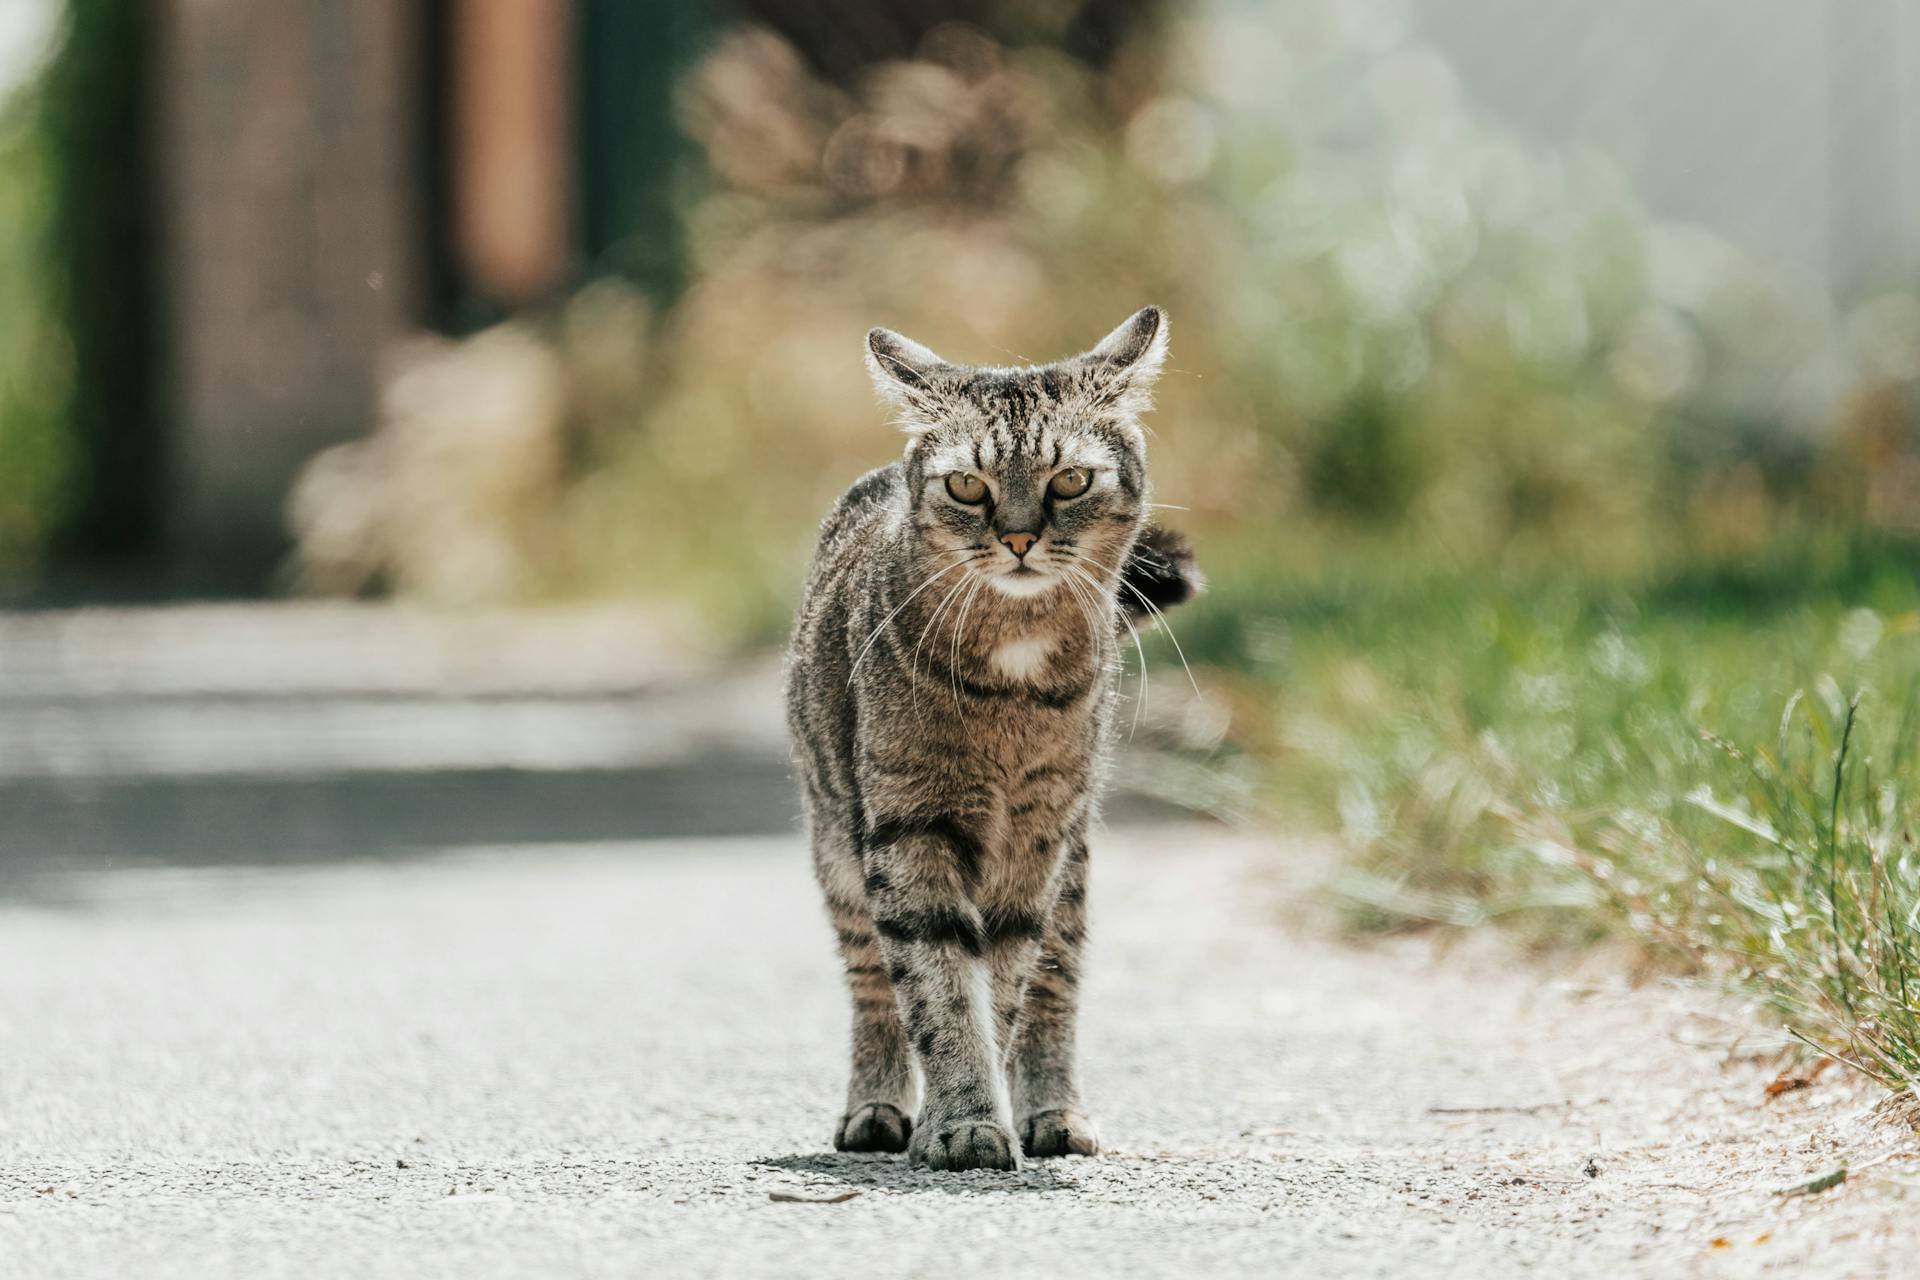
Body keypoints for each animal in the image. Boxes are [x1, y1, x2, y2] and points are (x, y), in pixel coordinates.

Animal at [783, 307, 1198, 1174]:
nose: (1016, 538)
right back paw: (876, 1109)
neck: (1013, 670)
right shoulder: (908, 828)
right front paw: (963, 1122)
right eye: (968, 486)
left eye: (1069, 481)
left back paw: (1053, 1112)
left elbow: (1000, 987)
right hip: (838, 847)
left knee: (1054, 989)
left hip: (1071, 869)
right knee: (872, 988)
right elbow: (937, 989)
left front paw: (982, 1111)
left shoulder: (1032, 844)